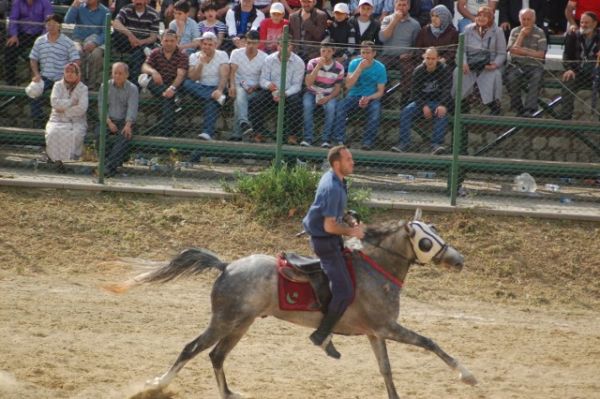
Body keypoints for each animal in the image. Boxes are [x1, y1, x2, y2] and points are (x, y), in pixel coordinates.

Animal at [104, 209, 478, 399]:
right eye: (427, 240)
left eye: (436, 230)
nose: (459, 260)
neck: (377, 267)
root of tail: (227, 265)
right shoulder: (388, 328)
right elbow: (430, 342)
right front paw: (467, 375)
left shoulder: (376, 333)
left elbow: (386, 370)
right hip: (224, 321)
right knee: (191, 349)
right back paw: (156, 385)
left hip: (240, 324)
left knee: (216, 356)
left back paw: (229, 393)